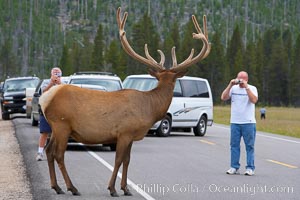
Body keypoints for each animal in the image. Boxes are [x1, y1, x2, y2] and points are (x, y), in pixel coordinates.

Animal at [39, 7, 211, 197]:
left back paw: (57, 186)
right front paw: (112, 189)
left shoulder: (131, 136)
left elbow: (127, 160)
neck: (149, 108)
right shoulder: (124, 132)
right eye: (174, 81)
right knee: (58, 154)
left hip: (56, 127)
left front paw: (126, 189)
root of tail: (45, 97)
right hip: (62, 124)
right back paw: (72, 187)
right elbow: (118, 160)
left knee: (49, 151)